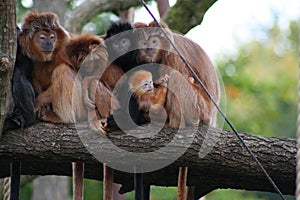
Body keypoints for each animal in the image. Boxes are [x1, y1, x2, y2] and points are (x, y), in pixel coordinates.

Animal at [134, 20, 220, 200]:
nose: (149, 48)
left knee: (175, 76)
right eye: (144, 42)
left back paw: (171, 123)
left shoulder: (173, 54)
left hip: (198, 107)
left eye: (154, 41)